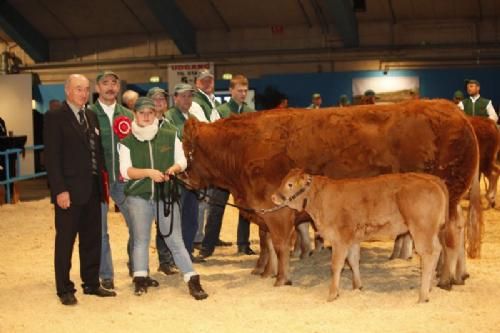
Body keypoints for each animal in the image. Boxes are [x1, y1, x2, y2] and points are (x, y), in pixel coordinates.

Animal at [183, 98, 480, 288]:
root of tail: (455, 112)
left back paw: (445, 279)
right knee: (457, 232)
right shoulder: (262, 210)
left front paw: (280, 278)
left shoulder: (277, 212)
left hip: (446, 198)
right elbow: (266, 243)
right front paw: (265, 271)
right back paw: (456, 275)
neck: (243, 148)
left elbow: (277, 245)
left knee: (450, 236)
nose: (184, 177)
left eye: (186, 147)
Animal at [272, 170, 448, 302]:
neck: (320, 197)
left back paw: (423, 296)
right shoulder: (352, 239)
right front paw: (357, 287)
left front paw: (332, 294)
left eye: (290, 184)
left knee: (428, 255)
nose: (274, 197)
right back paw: (429, 288)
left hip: (421, 230)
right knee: (437, 250)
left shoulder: (340, 239)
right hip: (432, 231)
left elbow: (336, 265)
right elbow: (353, 260)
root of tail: (432, 180)